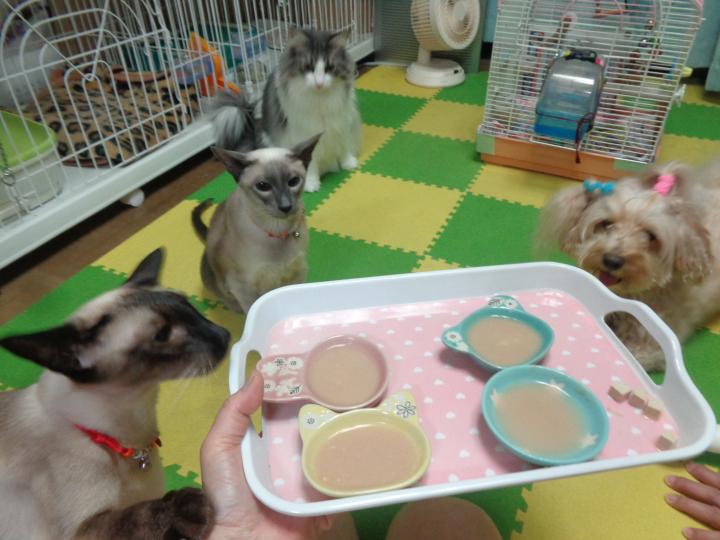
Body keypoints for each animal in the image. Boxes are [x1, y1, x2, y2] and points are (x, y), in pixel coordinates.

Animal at [0, 249, 230, 540]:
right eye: (163, 335)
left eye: (191, 309)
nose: (224, 334)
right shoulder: (84, 530)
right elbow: (138, 515)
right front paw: (187, 507)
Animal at [192, 135, 320, 314]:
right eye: (263, 186)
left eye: (293, 181)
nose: (286, 206)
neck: (277, 231)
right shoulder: (243, 288)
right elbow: (252, 308)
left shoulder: (298, 273)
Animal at [212, 27, 361, 192]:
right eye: (308, 67)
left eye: (329, 68)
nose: (319, 83)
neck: (319, 99)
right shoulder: (304, 133)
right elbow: (310, 161)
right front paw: (311, 183)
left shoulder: (340, 123)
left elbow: (343, 145)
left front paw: (349, 163)